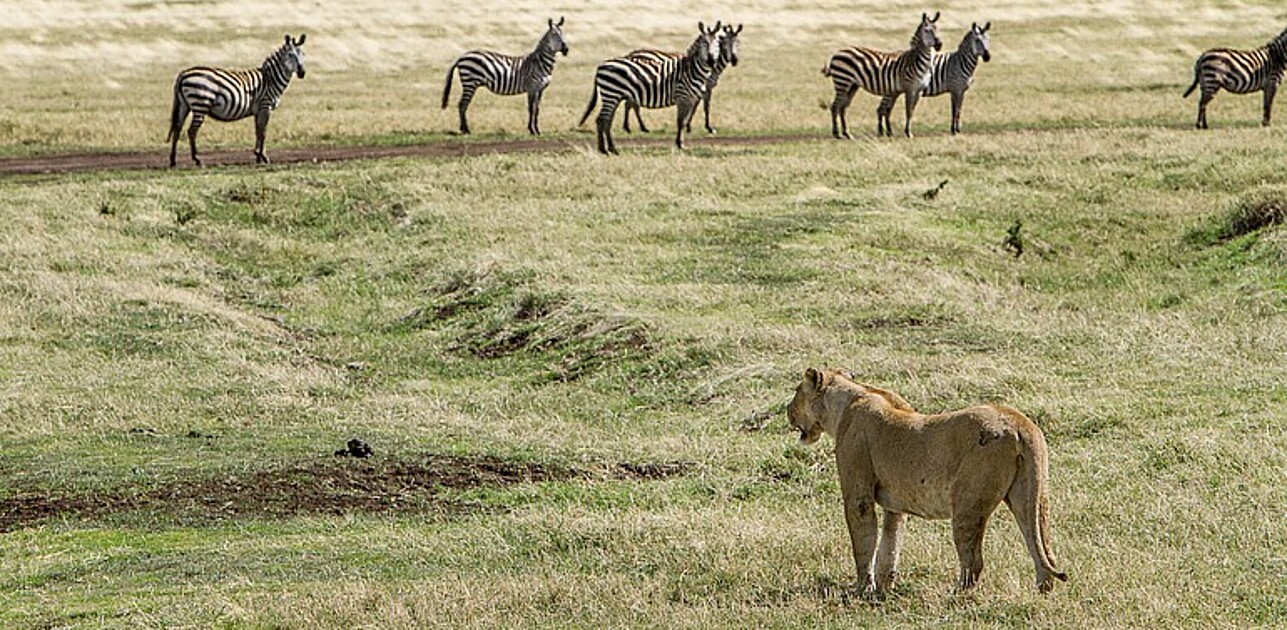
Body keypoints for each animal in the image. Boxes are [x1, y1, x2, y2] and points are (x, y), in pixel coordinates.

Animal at [167, 34, 306, 168]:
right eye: (290, 55)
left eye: (303, 54)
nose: (302, 73)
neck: (270, 79)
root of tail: (183, 73)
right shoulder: (265, 106)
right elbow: (263, 132)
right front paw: (264, 157)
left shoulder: (258, 110)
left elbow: (258, 131)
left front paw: (258, 156)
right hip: (200, 104)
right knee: (191, 131)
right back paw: (197, 160)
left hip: (184, 105)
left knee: (177, 129)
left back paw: (173, 161)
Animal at [578, 22, 721, 155]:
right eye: (704, 43)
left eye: (717, 43)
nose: (711, 61)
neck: (692, 70)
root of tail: (601, 65)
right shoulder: (682, 97)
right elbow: (681, 121)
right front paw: (680, 144)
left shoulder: (691, 99)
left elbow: (685, 121)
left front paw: (681, 143)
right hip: (611, 94)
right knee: (602, 120)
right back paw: (604, 150)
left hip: (614, 96)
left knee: (607, 120)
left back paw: (611, 149)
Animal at [788, 368, 1067, 597]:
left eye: (796, 392)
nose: (787, 411)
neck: (851, 398)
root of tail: (1019, 422)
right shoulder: (895, 505)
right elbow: (890, 545)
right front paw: (883, 588)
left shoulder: (858, 495)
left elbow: (864, 543)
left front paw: (861, 589)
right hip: (1032, 495)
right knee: (1043, 547)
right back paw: (1043, 591)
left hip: (968, 504)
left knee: (973, 561)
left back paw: (956, 594)